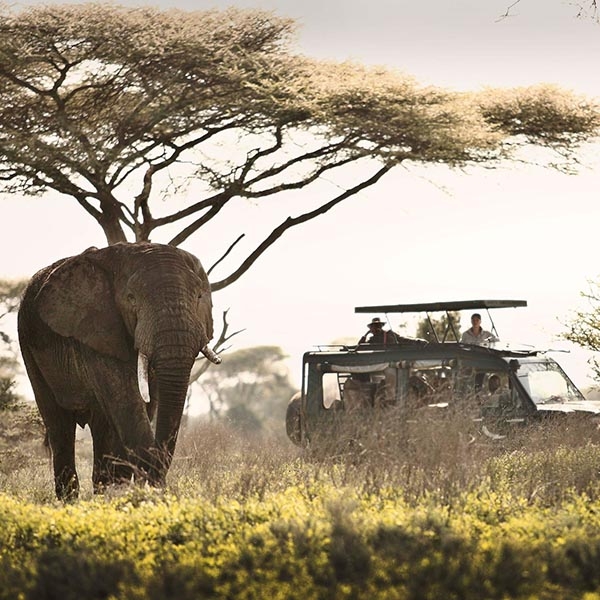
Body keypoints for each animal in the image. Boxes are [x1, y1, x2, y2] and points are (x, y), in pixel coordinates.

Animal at [18, 241, 220, 500]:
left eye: (199, 296)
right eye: (131, 298)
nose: (158, 487)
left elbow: (144, 405)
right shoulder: (97, 329)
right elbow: (126, 402)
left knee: (103, 427)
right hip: (28, 345)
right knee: (59, 424)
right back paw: (71, 501)